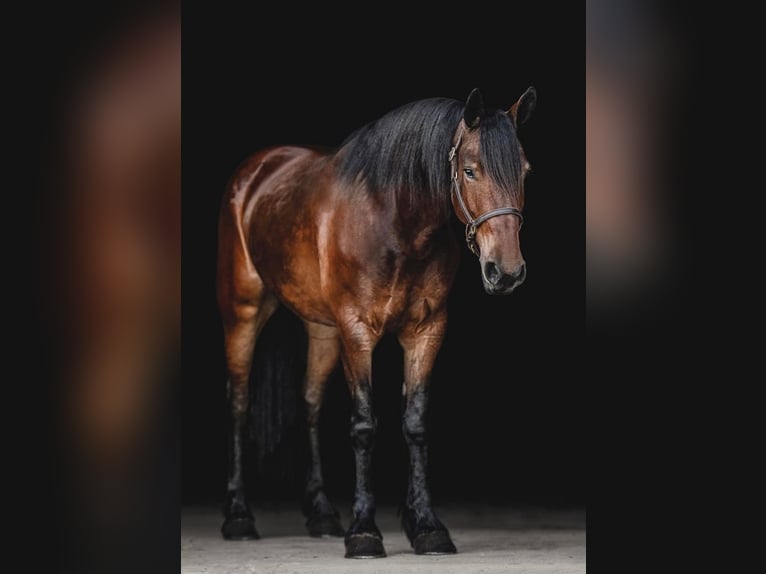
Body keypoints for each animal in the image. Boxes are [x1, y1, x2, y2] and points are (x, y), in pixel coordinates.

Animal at [219, 86, 536, 560]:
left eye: (525, 171)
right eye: (470, 170)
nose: (507, 272)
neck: (393, 221)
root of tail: (257, 170)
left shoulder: (426, 332)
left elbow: (416, 423)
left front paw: (426, 526)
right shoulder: (357, 332)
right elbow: (365, 425)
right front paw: (365, 532)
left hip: (323, 331)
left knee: (310, 404)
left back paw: (321, 514)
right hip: (244, 312)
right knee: (239, 405)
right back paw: (239, 516)